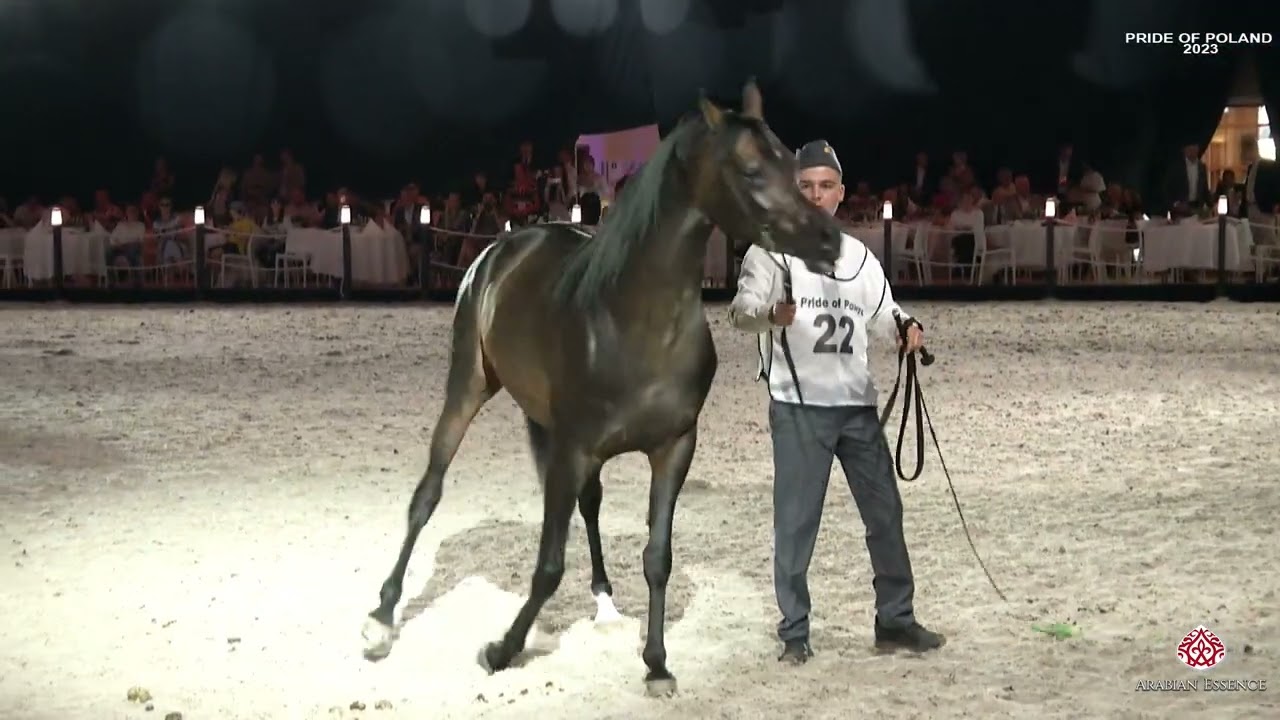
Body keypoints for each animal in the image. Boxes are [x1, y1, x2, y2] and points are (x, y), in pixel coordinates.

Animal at [361, 80, 843, 696]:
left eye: (790, 162)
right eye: (751, 170)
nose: (830, 240)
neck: (637, 323)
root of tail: (503, 247)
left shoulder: (671, 449)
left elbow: (656, 557)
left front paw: (657, 664)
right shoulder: (573, 448)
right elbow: (547, 565)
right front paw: (501, 650)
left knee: (587, 507)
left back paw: (605, 603)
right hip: (468, 387)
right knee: (427, 495)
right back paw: (381, 617)